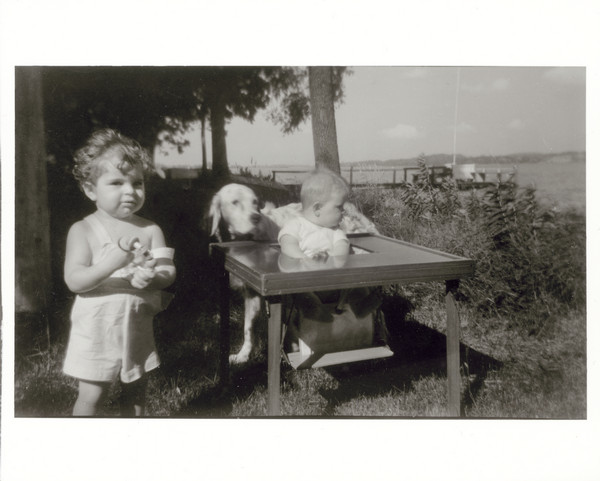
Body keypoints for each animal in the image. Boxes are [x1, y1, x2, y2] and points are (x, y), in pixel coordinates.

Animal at [210, 182, 380, 362]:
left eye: (255, 202)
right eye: (235, 202)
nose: (255, 218)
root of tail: (354, 212)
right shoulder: (251, 293)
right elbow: (248, 327)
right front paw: (243, 355)